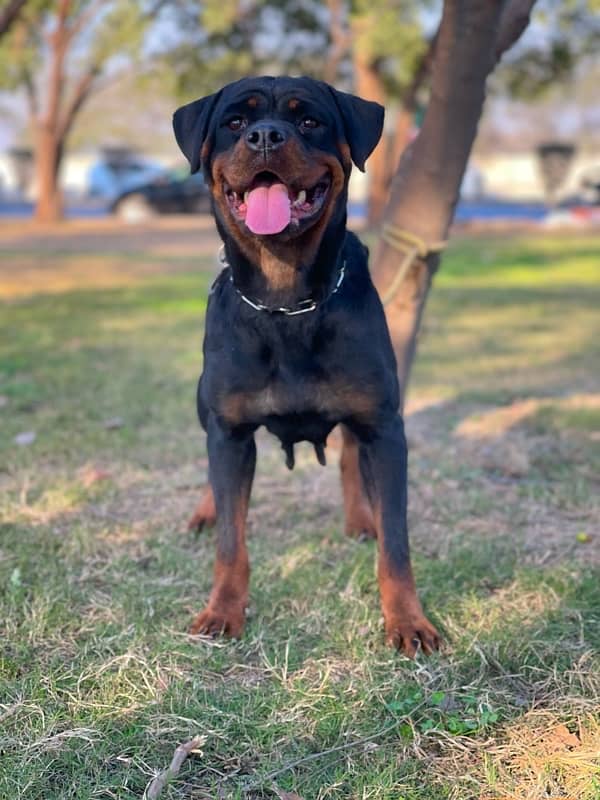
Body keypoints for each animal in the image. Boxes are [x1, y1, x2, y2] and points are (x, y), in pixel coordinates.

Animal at [173, 75, 440, 656]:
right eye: (234, 122)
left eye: (309, 120)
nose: (265, 137)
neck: (286, 300)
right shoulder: (229, 432)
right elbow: (231, 542)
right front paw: (222, 612)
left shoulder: (384, 428)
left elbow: (396, 544)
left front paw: (407, 620)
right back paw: (204, 511)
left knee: (349, 460)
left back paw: (360, 518)